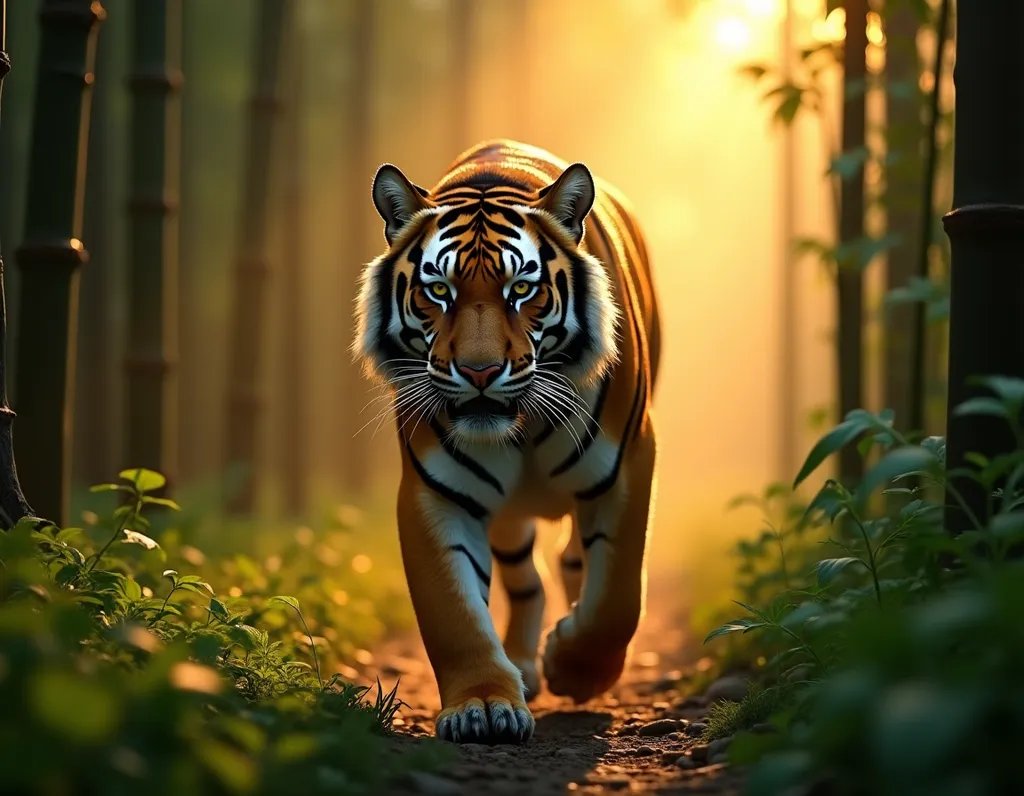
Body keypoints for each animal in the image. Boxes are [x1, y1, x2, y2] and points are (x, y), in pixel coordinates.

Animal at [353, 139, 661, 744]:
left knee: (573, 563)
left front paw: (576, 669)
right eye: (438, 291)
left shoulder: (628, 465)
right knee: (528, 579)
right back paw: (522, 664)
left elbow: (618, 597)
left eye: (522, 289)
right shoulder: (436, 493)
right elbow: (453, 614)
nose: (479, 371)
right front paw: (484, 705)